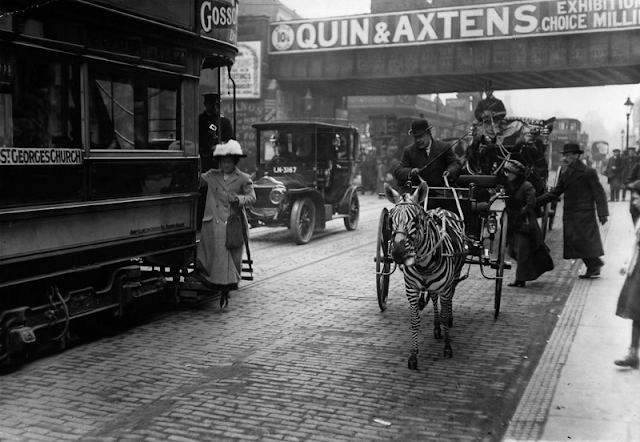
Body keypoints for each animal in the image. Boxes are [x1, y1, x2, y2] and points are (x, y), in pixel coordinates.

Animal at [382, 182, 468, 370]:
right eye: (391, 220)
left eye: (415, 220)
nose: (397, 253)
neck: (424, 265)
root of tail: (441, 209)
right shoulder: (411, 289)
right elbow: (415, 320)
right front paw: (413, 356)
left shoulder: (444, 288)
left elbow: (445, 314)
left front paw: (447, 347)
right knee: (434, 299)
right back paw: (436, 328)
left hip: (453, 277)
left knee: (450, 298)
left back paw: (447, 321)